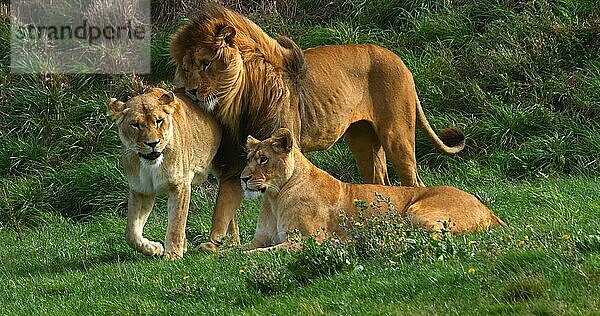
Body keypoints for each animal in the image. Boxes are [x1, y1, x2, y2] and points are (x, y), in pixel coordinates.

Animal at [107, 87, 220, 260]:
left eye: (158, 121)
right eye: (135, 125)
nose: (152, 144)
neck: (151, 166)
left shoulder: (180, 186)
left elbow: (176, 223)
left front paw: (173, 254)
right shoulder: (141, 191)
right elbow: (131, 233)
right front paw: (154, 248)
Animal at [171, 2, 466, 249]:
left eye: (206, 64)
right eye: (186, 69)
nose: (192, 92)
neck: (237, 99)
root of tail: (399, 59)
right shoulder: (236, 161)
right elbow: (224, 206)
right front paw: (217, 244)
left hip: (397, 135)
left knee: (413, 180)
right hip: (362, 140)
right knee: (378, 180)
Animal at [241, 127, 504, 251]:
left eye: (263, 159)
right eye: (249, 159)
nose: (243, 178)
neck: (274, 197)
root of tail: (488, 210)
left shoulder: (306, 241)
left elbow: (255, 255)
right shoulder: (260, 239)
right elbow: (236, 249)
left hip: (417, 211)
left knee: (437, 236)